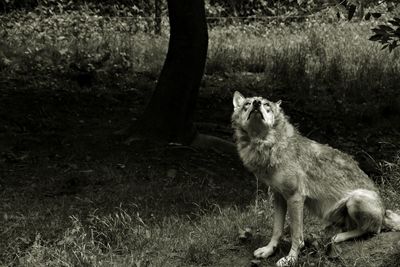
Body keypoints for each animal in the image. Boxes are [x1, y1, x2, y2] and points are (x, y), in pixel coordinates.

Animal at [231, 91, 400, 266]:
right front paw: (269, 250)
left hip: (356, 200)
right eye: (247, 104)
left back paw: (338, 237)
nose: (256, 103)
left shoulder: (295, 197)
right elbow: (276, 230)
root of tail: (384, 212)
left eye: (266, 105)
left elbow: (296, 235)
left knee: (371, 230)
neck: (268, 145)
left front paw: (291, 258)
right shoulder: (278, 197)